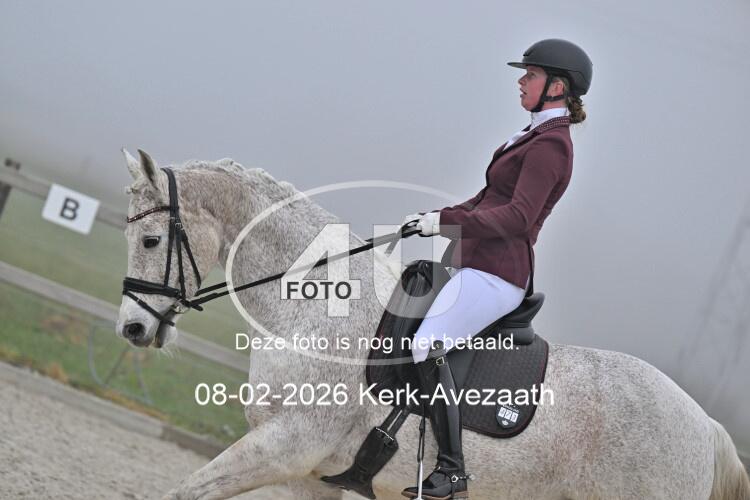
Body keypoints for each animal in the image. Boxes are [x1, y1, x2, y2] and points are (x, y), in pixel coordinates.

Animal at [115, 150, 749, 500]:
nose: (133, 330)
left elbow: (183, 492)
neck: (315, 303)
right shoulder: (309, 474)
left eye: (149, 240)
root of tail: (706, 424)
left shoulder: (285, 448)